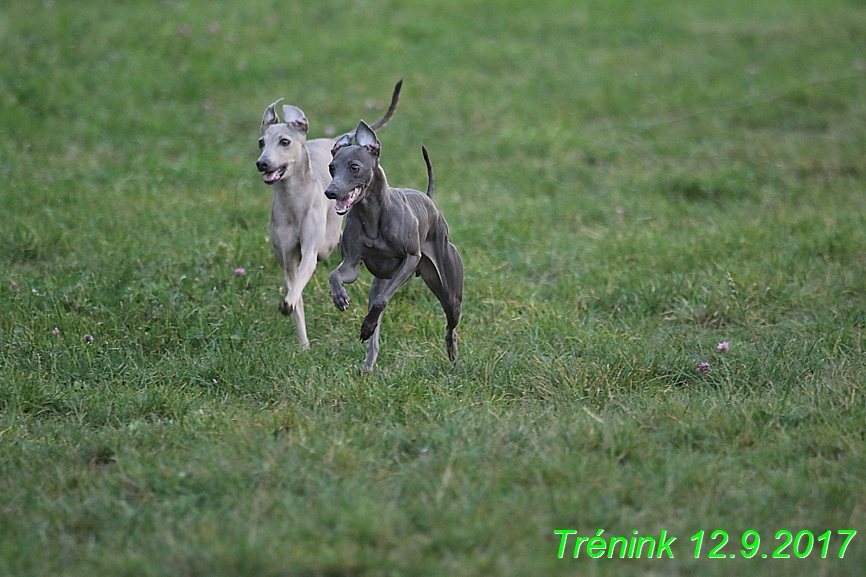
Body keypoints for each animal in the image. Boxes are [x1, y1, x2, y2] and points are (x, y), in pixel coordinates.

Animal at [255, 80, 400, 352]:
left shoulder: (311, 252)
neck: (294, 200)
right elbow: (295, 296)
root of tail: (332, 140)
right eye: (261, 142)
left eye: (284, 141)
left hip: (330, 236)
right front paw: (303, 345)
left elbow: (304, 273)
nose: (262, 163)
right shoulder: (287, 259)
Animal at [324, 120, 462, 368]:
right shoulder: (351, 264)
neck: (372, 215)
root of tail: (430, 202)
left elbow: (381, 302)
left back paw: (452, 352)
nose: (330, 192)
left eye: (354, 167)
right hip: (383, 281)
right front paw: (340, 297)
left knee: (451, 323)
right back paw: (367, 363)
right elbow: (336, 274)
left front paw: (366, 323)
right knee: (374, 333)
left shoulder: (411, 259)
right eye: (332, 167)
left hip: (449, 289)